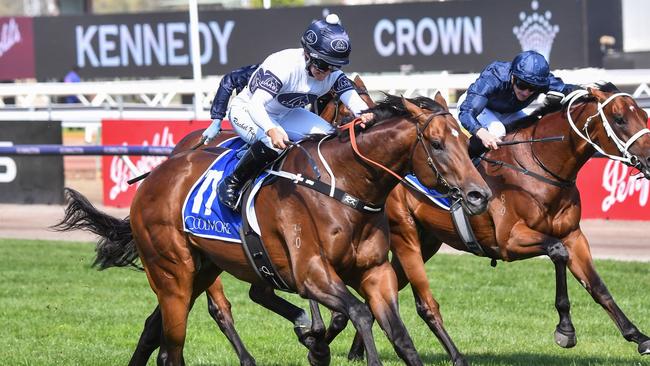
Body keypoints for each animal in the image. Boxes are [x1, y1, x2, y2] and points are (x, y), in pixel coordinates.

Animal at [57, 95, 492, 366]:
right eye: (436, 143)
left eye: (464, 139)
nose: (480, 194)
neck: (343, 186)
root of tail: (152, 177)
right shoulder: (311, 273)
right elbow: (360, 314)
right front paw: (321, 344)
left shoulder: (375, 272)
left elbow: (399, 336)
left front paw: (316, 341)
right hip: (172, 273)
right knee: (173, 349)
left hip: (202, 269)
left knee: (155, 329)